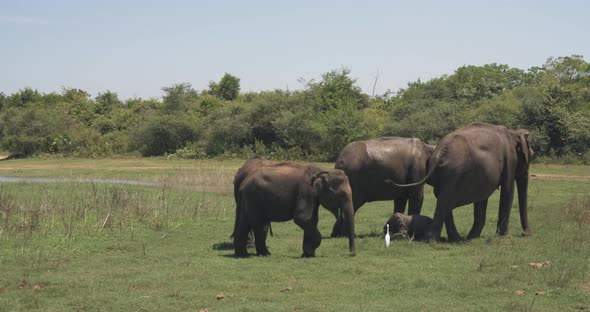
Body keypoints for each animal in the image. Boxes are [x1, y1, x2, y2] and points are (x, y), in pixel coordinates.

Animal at [390, 122, 536, 241]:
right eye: (531, 154)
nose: (526, 234)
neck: (513, 132)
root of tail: (440, 152)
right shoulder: (510, 160)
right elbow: (507, 191)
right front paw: (506, 237)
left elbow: (482, 198)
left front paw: (473, 236)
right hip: (454, 173)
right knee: (445, 200)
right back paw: (434, 239)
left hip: (445, 175)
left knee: (443, 199)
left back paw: (455, 239)